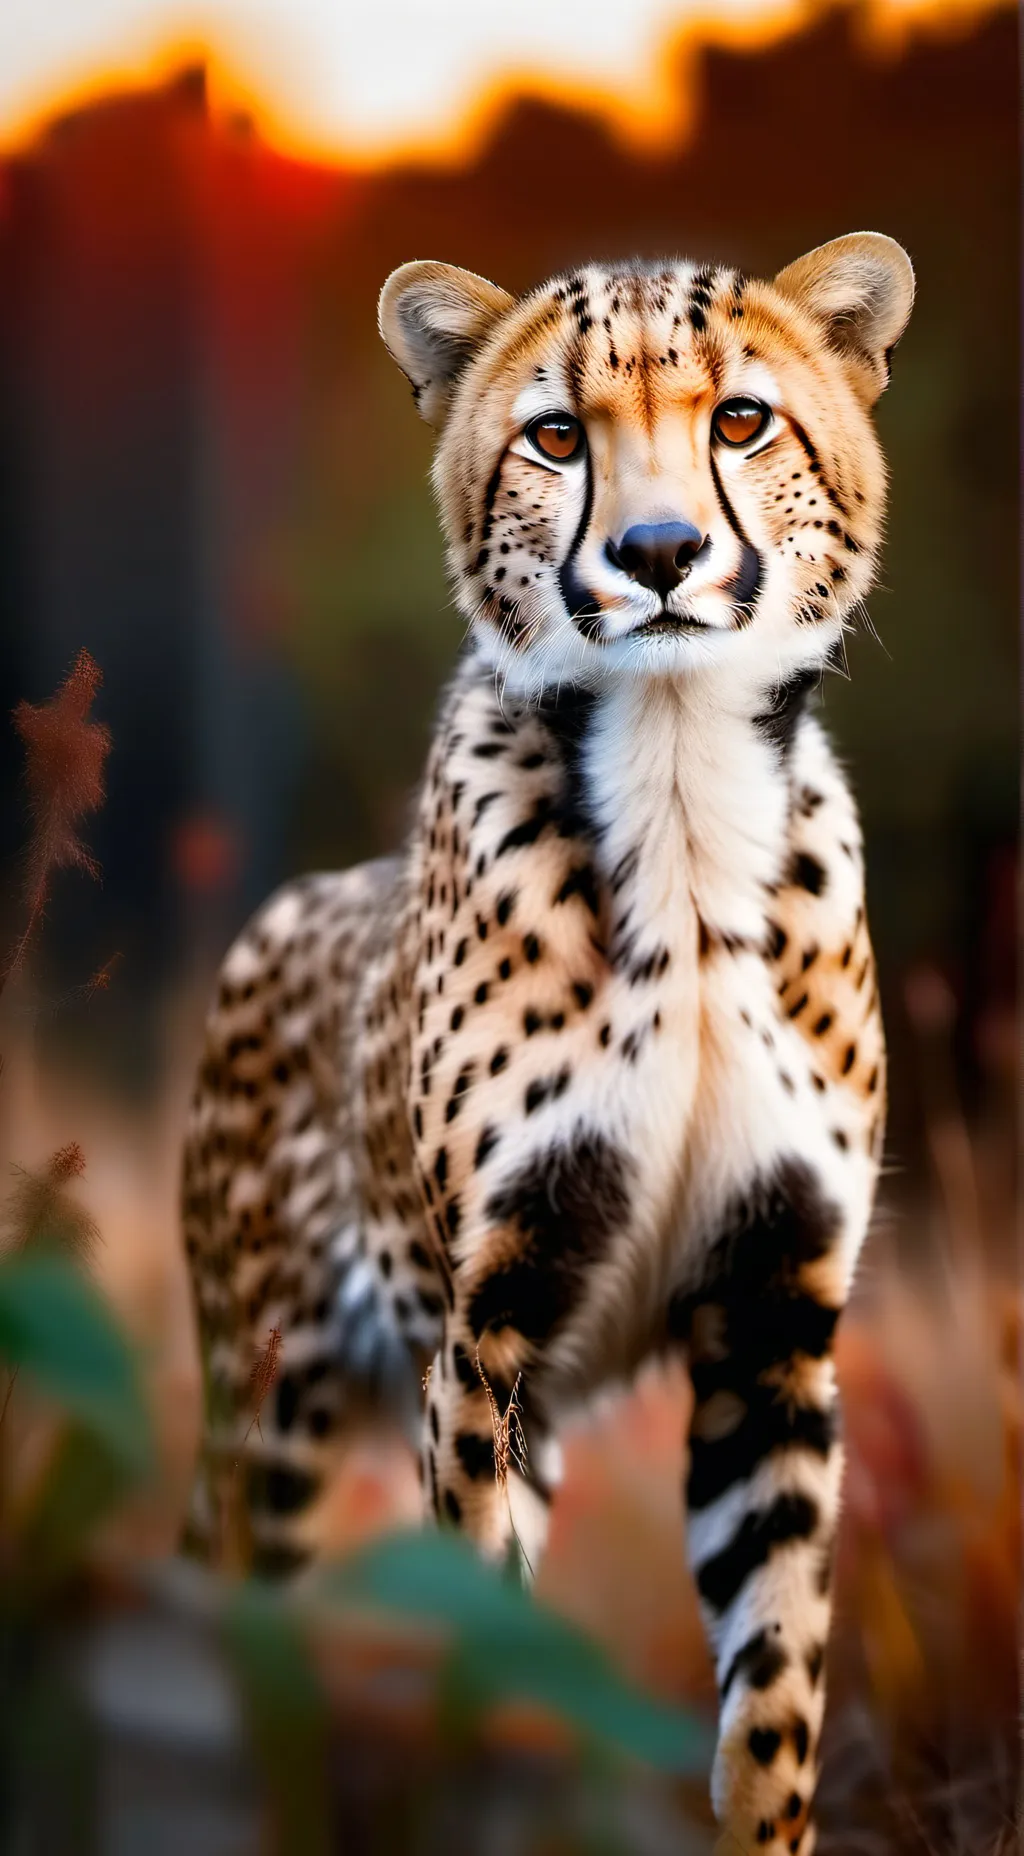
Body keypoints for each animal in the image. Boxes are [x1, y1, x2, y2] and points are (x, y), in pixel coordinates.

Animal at [182, 231, 914, 1854]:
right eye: (559, 436)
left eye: (741, 420)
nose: (658, 553)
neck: (683, 794)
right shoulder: (487, 1334)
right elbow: (486, 1634)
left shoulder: (770, 1324)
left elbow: (774, 1699)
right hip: (266, 1414)